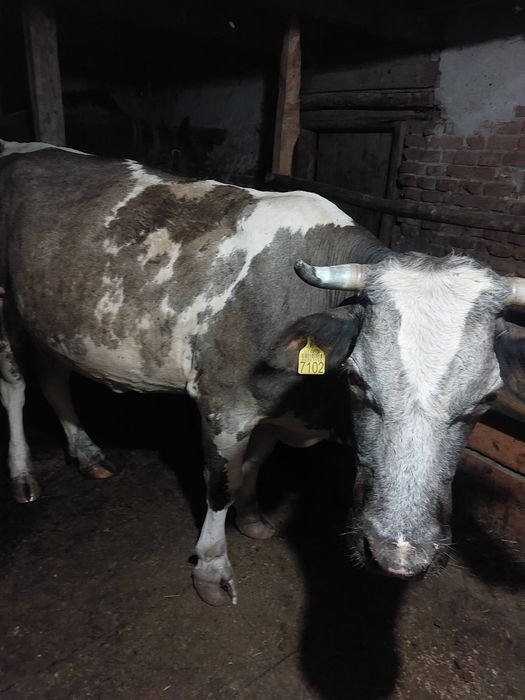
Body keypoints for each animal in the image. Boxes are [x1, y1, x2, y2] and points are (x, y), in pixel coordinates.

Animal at [0, 140, 524, 606]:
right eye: (357, 380)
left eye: (486, 400)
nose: (399, 556)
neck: (312, 407)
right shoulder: (223, 403)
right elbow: (220, 483)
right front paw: (212, 569)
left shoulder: (273, 409)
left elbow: (254, 464)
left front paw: (251, 518)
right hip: (6, 314)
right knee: (16, 389)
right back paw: (23, 477)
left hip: (54, 319)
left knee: (53, 378)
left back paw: (87, 453)